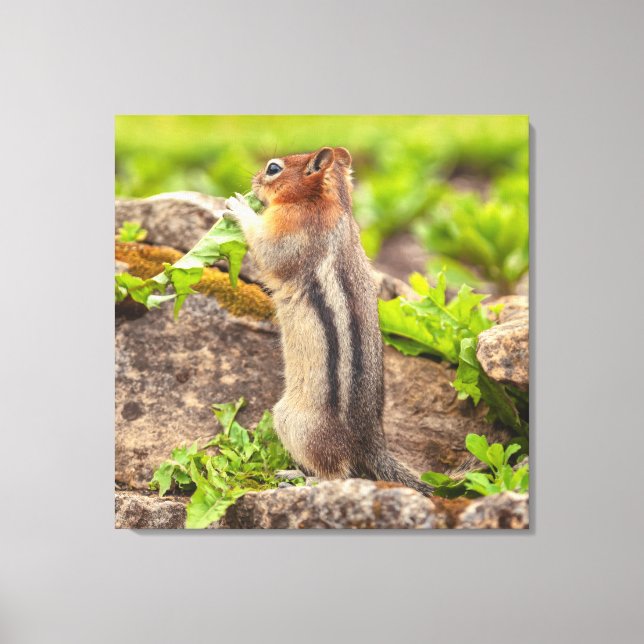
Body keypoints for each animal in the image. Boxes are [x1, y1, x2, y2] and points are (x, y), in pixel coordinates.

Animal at [224, 147, 432, 496]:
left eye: (273, 169)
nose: (253, 182)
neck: (327, 201)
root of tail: (370, 442)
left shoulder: (289, 230)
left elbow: (266, 249)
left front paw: (238, 205)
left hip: (293, 423)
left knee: (339, 474)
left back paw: (298, 479)